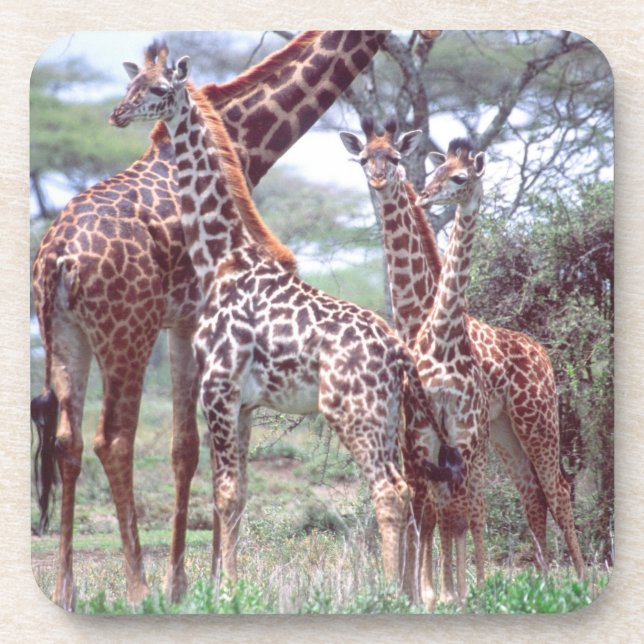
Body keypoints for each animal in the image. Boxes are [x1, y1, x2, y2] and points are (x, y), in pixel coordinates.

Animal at [30, 30, 398, 610]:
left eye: (154, 88)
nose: (117, 113)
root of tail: (58, 257)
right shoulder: (199, 340)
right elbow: (207, 463)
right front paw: (205, 583)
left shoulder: (200, 349)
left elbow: (197, 461)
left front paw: (199, 583)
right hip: (116, 334)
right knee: (107, 440)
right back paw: (128, 588)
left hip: (71, 334)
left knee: (73, 442)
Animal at [108, 42, 462, 592]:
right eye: (131, 83)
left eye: (160, 89)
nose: (118, 114)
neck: (223, 257)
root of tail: (398, 351)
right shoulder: (246, 403)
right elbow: (238, 495)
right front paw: (228, 584)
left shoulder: (219, 388)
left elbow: (225, 493)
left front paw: (227, 589)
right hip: (387, 416)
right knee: (407, 490)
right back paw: (404, 589)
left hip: (353, 412)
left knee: (389, 490)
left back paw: (387, 592)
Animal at [340, 118, 585, 605]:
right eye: (362, 158)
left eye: (394, 157)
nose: (421, 191)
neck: (421, 319)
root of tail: (542, 354)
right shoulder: (417, 433)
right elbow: (427, 509)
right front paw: (420, 592)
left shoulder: (459, 434)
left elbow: (457, 510)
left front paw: (449, 591)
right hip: (505, 432)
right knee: (531, 495)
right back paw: (544, 582)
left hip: (536, 420)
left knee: (555, 490)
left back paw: (580, 582)